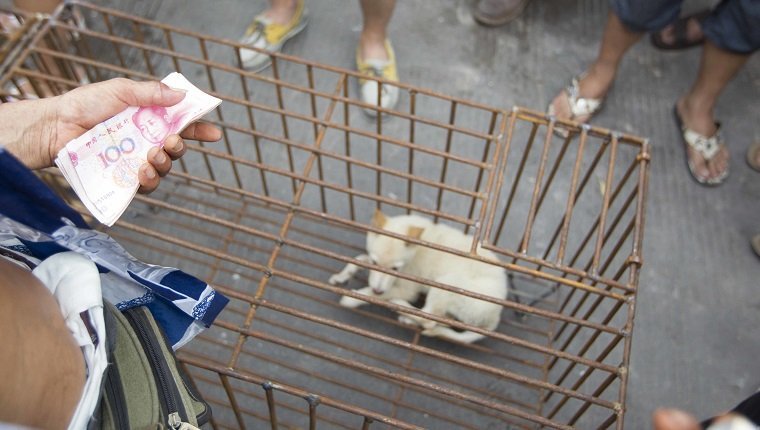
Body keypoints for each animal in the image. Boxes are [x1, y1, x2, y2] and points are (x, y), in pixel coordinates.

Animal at [328, 208, 510, 342]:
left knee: (428, 319)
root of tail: (495, 316)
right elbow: (357, 260)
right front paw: (342, 276)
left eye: (395, 268)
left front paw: (352, 298)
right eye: (374, 263)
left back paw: (400, 306)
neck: (416, 248)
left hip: (448, 282)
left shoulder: (408, 289)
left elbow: (374, 295)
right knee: (437, 319)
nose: (378, 290)